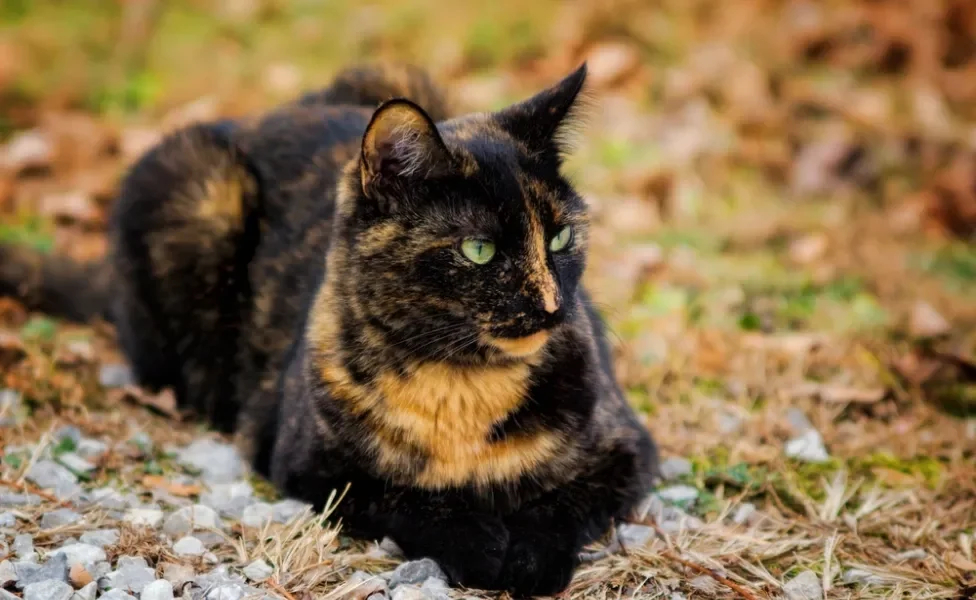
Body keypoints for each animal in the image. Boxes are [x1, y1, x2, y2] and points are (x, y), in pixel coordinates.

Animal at [0, 61, 660, 596]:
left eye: (561, 237)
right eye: (479, 250)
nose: (553, 306)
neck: (461, 385)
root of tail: (262, 117)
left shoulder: (626, 452)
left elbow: (559, 507)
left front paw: (529, 560)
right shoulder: (312, 465)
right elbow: (410, 501)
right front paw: (481, 546)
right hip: (197, 188)